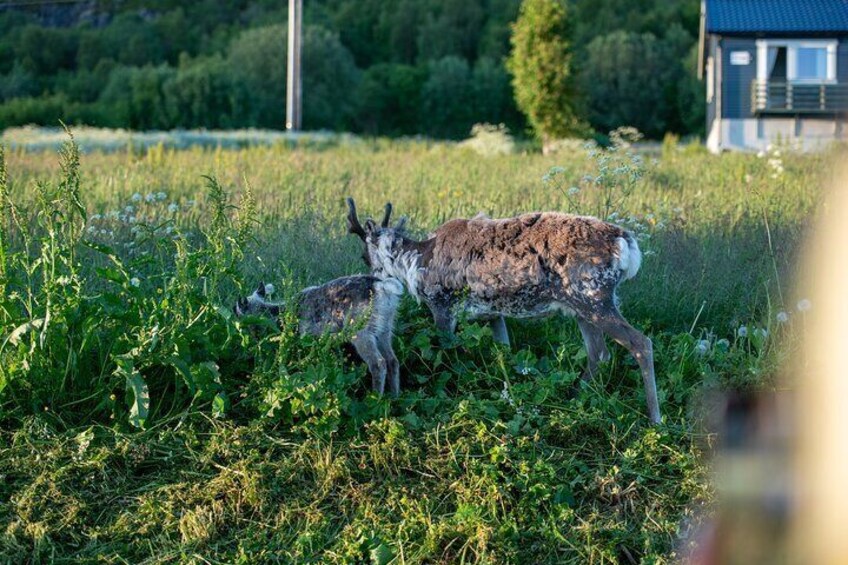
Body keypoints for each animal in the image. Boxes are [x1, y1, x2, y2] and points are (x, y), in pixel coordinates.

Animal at [232, 276, 404, 394]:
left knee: (378, 363)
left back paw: (375, 398)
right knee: (393, 360)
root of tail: (382, 286)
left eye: (236, 311)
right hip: (385, 328)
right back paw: (394, 396)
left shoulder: (307, 336)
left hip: (361, 331)